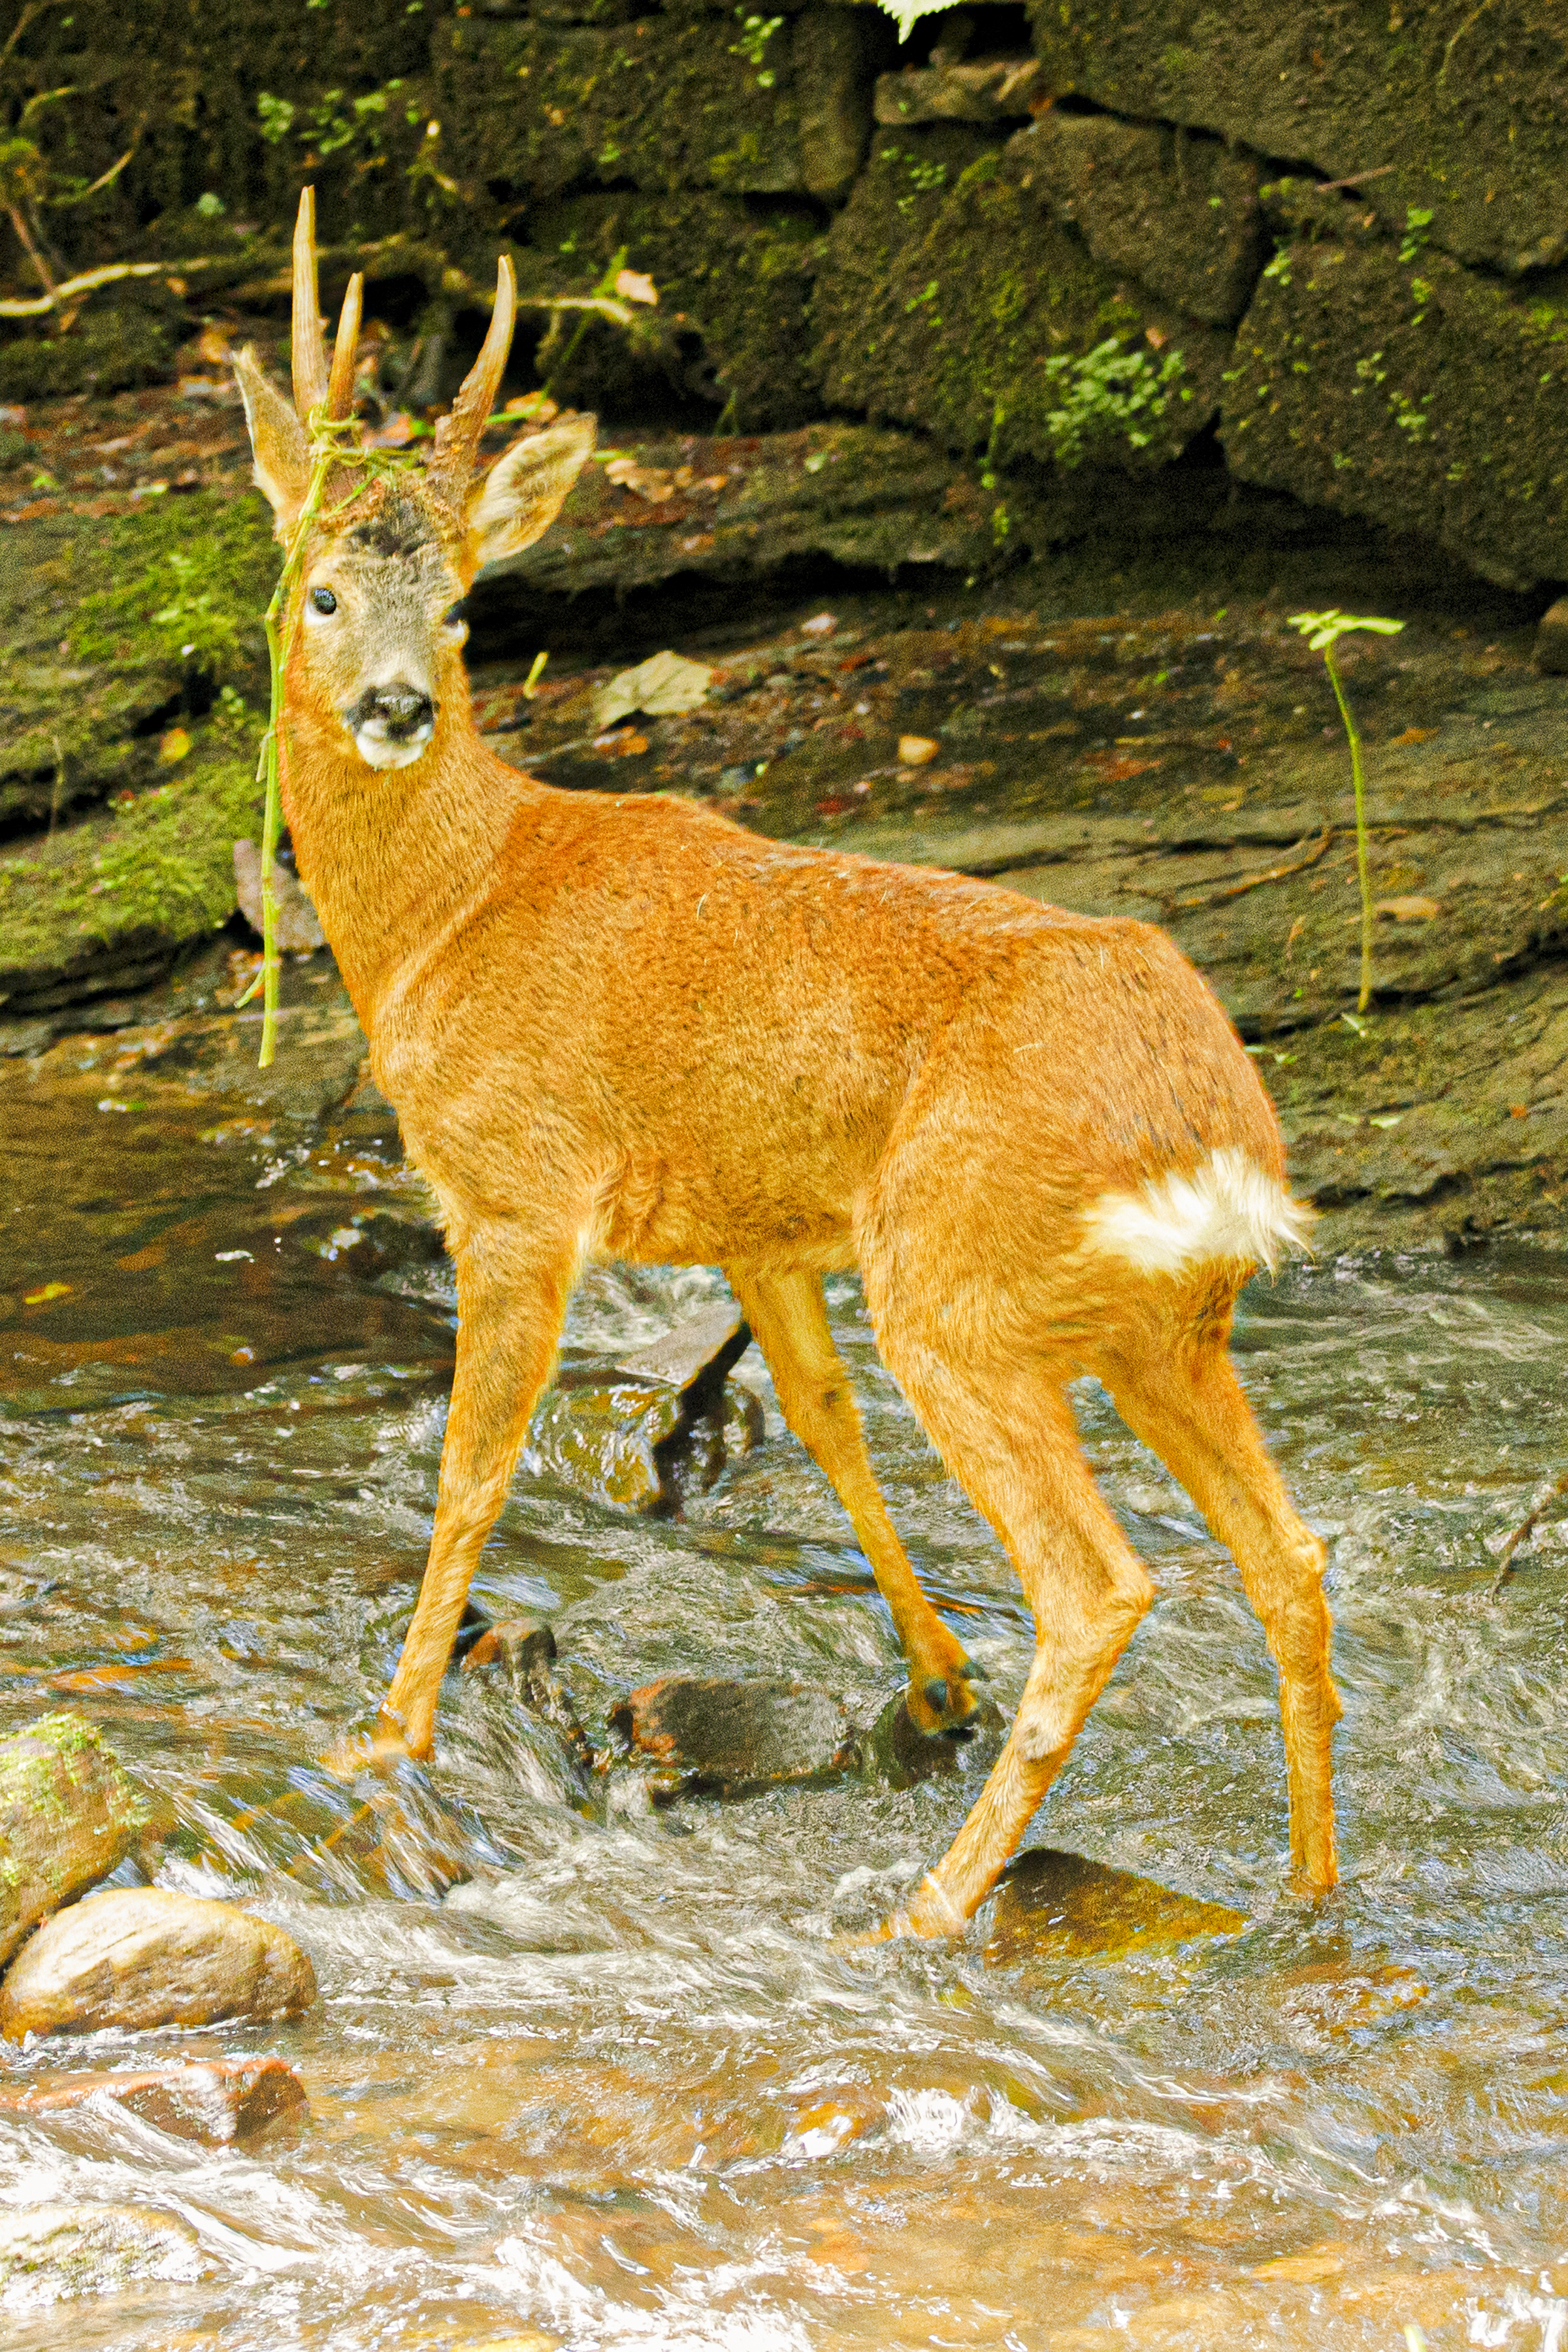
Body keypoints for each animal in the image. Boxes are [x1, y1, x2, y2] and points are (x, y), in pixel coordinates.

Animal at [233, 193, 1335, 1938]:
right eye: (321, 592)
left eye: (464, 608)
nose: (397, 705)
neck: (446, 913)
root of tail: (1213, 1128)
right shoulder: (757, 1225)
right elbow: (822, 1421)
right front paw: (935, 1681)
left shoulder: (517, 1188)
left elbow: (471, 1469)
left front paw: (385, 1733)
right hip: (1160, 1321)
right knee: (1289, 1561)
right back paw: (1306, 1892)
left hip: (960, 1280)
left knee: (1102, 1584)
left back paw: (930, 1908)